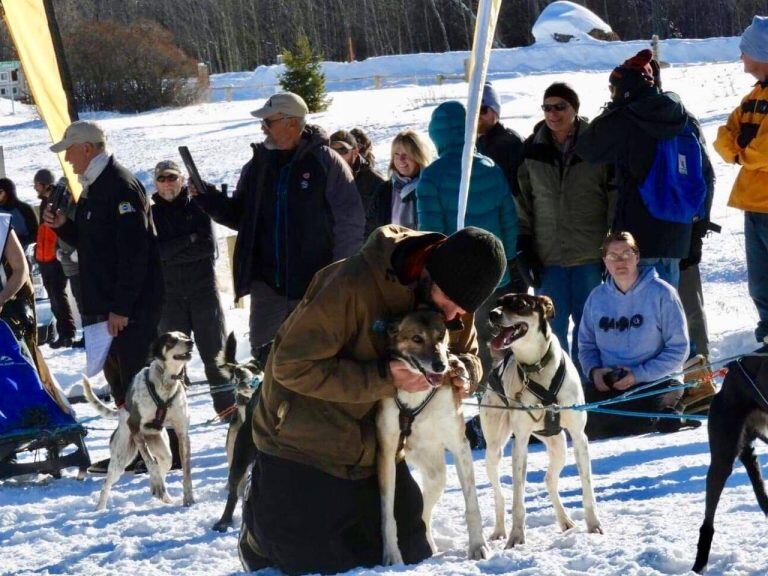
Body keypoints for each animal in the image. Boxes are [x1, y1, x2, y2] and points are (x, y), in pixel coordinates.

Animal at [80, 330, 194, 510]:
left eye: (184, 336)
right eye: (171, 341)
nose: (190, 342)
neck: (166, 383)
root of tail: (121, 412)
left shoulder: (182, 432)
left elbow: (186, 471)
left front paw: (188, 499)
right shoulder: (135, 428)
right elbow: (150, 462)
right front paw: (161, 488)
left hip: (162, 450)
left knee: (162, 464)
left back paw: (158, 489)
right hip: (121, 458)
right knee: (107, 484)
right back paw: (100, 509)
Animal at [376, 308, 488, 564]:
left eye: (440, 336)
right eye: (417, 338)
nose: (440, 366)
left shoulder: (460, 446)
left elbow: (472, 505)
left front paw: (478, 545)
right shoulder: (386, 454)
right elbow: (387, 514)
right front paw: (392, 555)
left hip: (437, 476)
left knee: (424, 512)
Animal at [480, 294, 600, 548]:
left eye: (520, 304)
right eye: (499, 301)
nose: (493, 314)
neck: (536, 367)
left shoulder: (579, 437)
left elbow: (587, 488)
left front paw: (594, 525)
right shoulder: (521, 443)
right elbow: (518, 500)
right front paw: (516, 537)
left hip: (559, 446)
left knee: (548, 479)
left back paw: (565, 521)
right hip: (494, 450)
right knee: (500, 495)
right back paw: (499, 530)